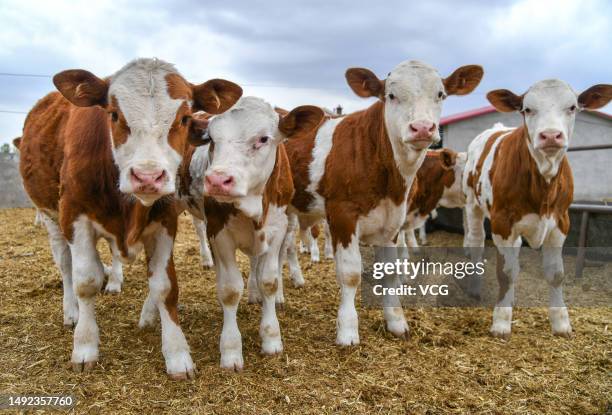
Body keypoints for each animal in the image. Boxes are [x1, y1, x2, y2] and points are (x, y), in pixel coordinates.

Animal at [17, 57, 241, 378]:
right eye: (113, 114)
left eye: (184, 118)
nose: (148, 177)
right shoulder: (74, 216)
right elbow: (84, 281)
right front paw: (85, 346)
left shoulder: (165, 221)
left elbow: (164, 286)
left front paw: (177, 354)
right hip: (51, 219)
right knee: (66, 265)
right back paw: (71, 311)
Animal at [178, 97, 326, 370]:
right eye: (211, 139)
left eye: (263, 139)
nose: (217, 180)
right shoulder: (219, 233)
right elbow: (229, 289)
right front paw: (231, 350)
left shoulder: (277, 229)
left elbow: (268, 280)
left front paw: (271, 337)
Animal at [284, 59, 482, 344]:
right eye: (391, 95)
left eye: (441, 94)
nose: (422, 128)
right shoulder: (342, 214)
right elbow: (350, 273)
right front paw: (347, 330)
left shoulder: (393, 220)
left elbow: (390, 270)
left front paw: (396, 321)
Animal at [464, 79, 612, 340]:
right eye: (527, 109)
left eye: (572, 107)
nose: (551, 135)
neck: (543, 182)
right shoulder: (503, 222)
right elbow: (506, 272)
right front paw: (501, 322)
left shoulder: (561, 221)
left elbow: (555, 274)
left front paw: (561, 323)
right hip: (473, 203)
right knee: (477, 242)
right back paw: (475, 288)